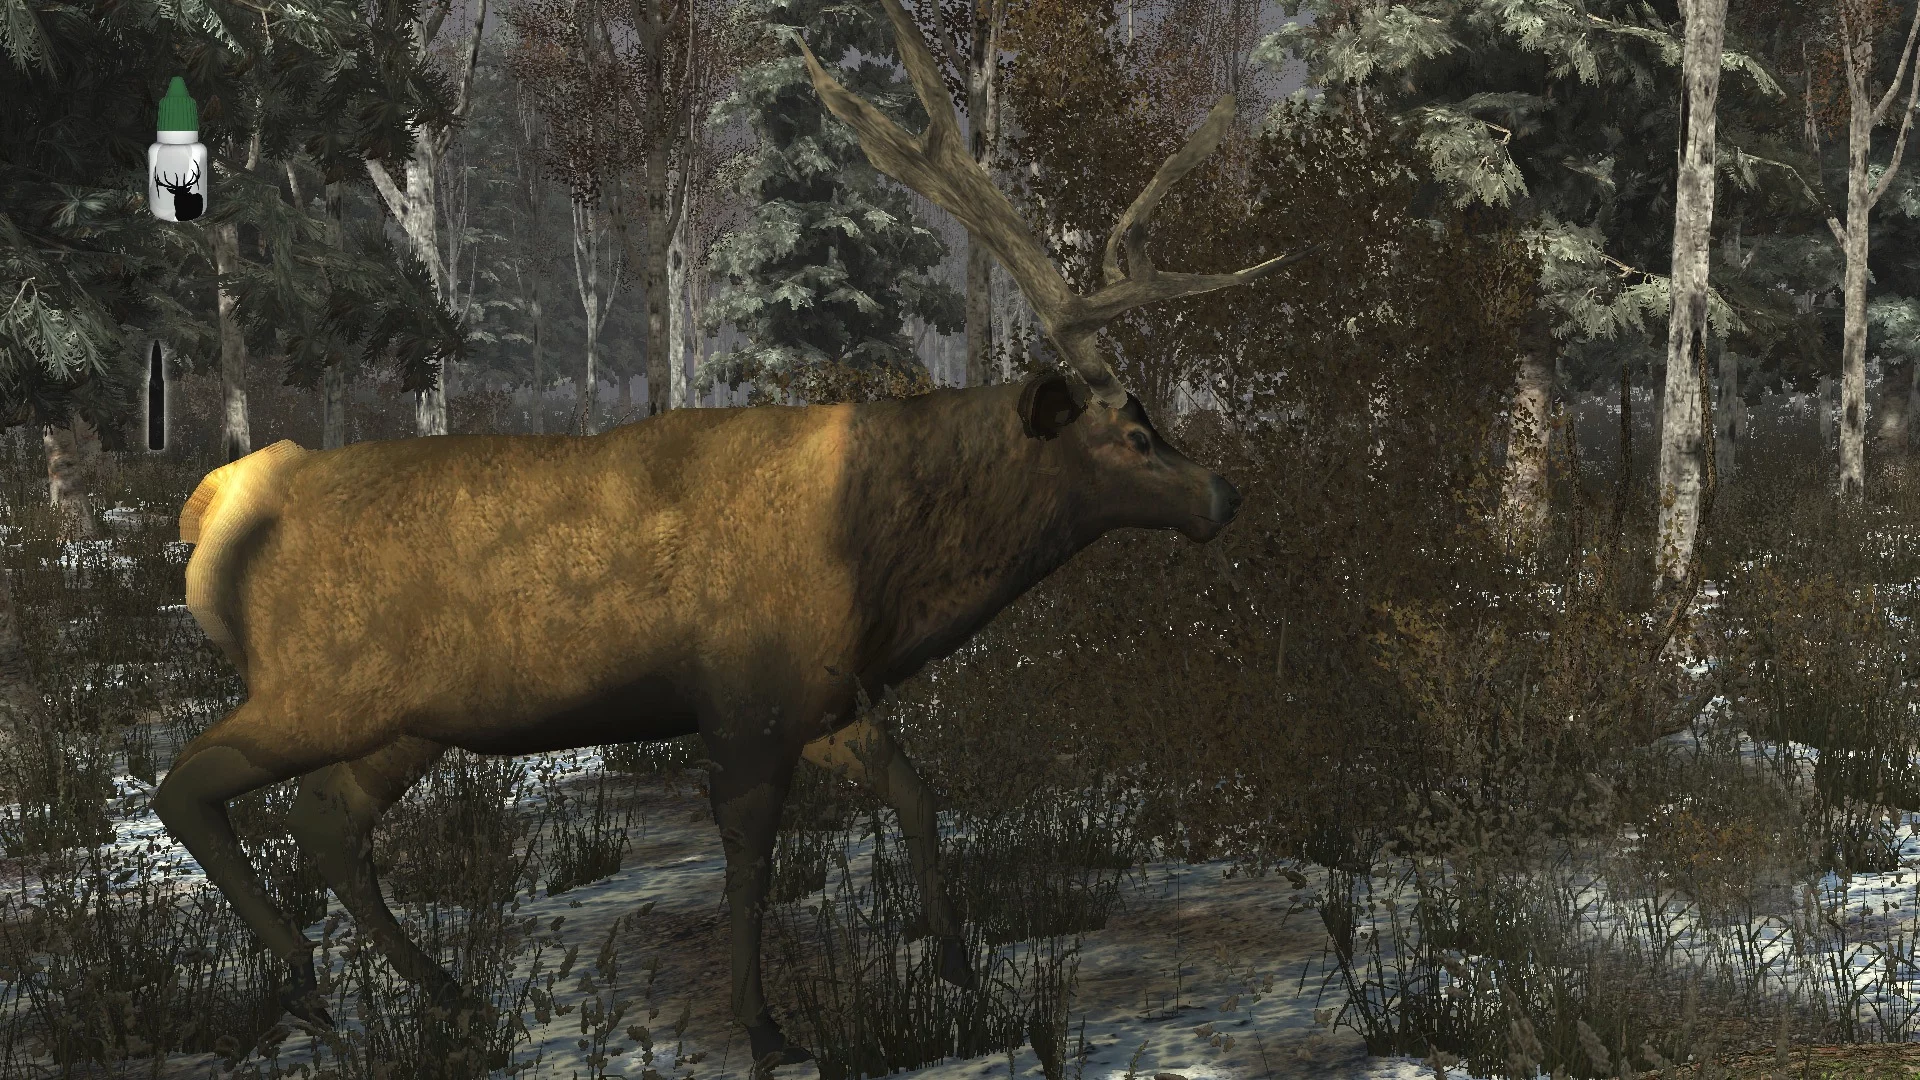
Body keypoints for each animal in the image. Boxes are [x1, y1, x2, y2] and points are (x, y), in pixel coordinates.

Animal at [150, 0, 1316, 1064]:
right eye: (1133, 431)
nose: (1225, 495)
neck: (879, 563)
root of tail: (221, 504)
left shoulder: (826, 694)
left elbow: (917, 793)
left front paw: (954, 962)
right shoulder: (744, 700)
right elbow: (750, 861)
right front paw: (767, 1026)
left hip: (405, 717)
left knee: (326, 818)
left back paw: (446, 991)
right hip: (317, 682)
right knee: (187, 784)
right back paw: (307, 982)